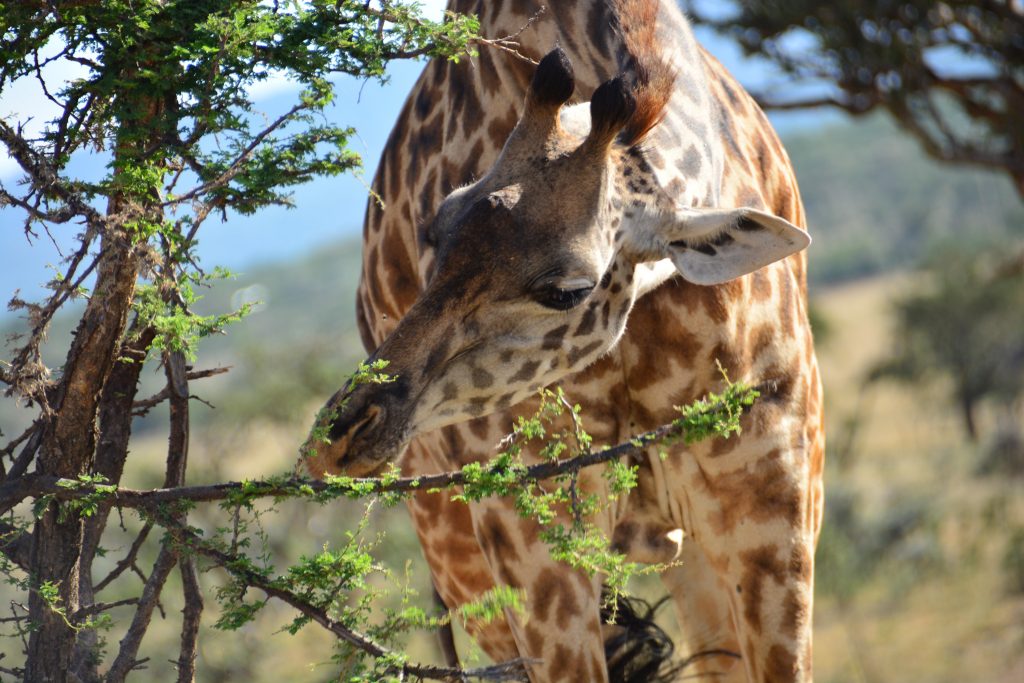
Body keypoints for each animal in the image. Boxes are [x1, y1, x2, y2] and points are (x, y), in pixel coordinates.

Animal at [301, 2, 823, 679]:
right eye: (436, 226)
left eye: (568, 291)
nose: (337, 437)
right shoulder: (532, 534)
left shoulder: (773, 506)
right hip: (458, 561)